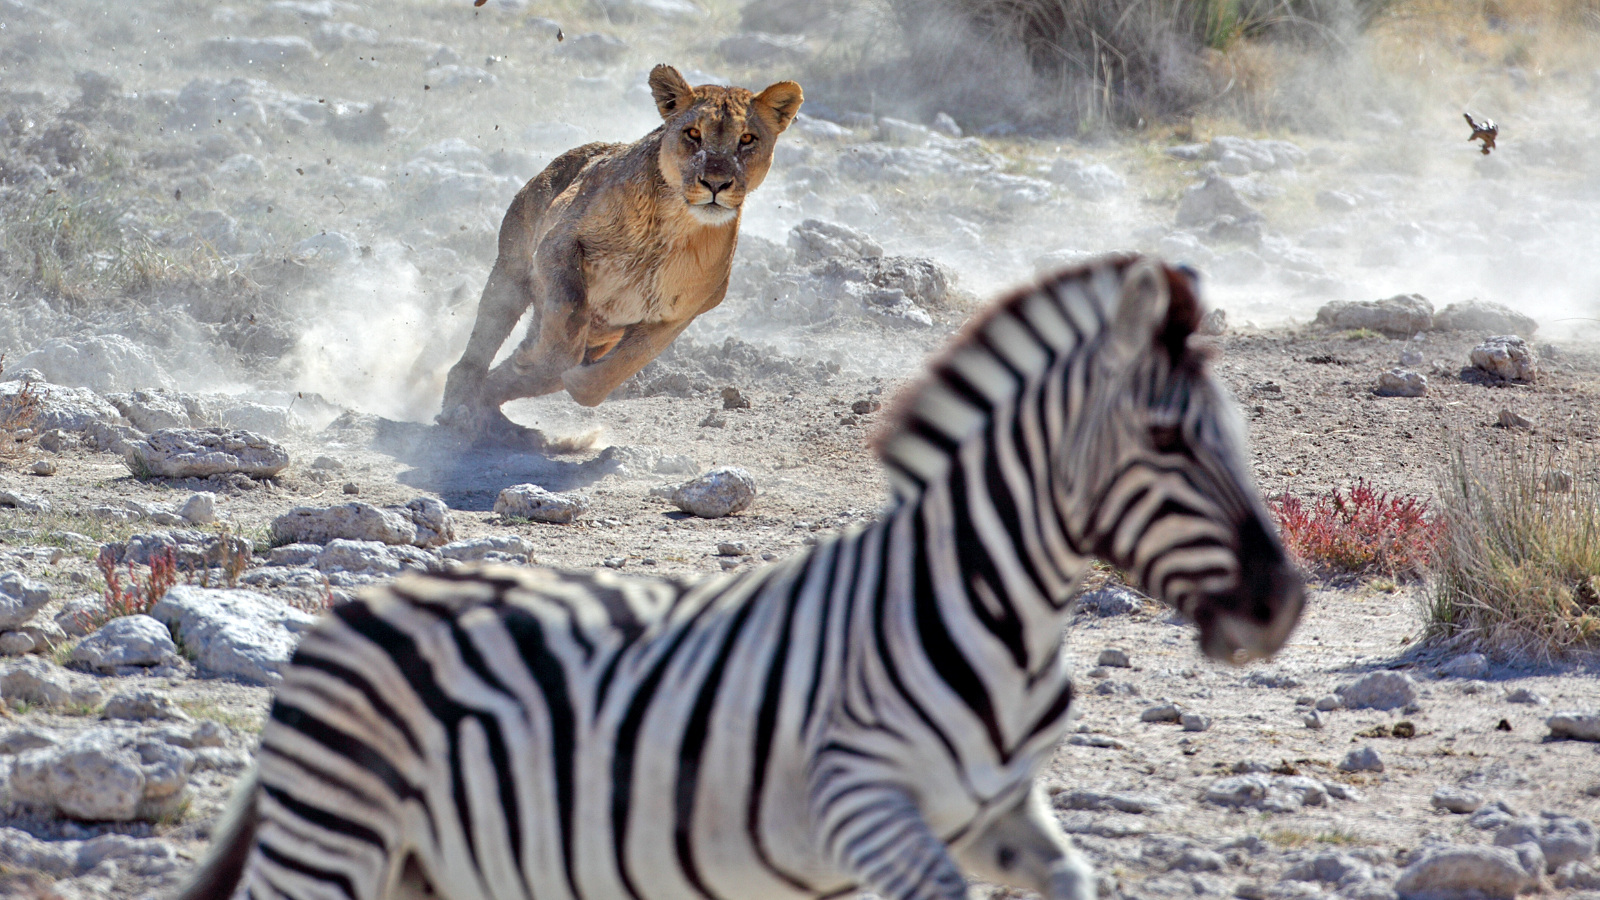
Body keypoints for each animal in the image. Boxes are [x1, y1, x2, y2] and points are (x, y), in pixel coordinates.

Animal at [179, 254, 1304, 900]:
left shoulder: (998, 813)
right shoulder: (860, 801)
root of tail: (354, 611)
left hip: (421, 864)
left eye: (1239, 437)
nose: (1281, 604)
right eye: (1166, 441)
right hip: (331, 841)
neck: (995, 616)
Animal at [437, 64, 803, 442]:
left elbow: (609, 375)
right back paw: (464, 409)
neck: (674, 226)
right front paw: (537, 361)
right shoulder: (558, 242)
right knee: (474, 355)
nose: (715, 183)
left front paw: (564, 376)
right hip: (511, 272)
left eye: (747, 139)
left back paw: (498, 410)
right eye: (693, 133)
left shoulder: (680, 313)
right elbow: (568, 318)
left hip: (596, 333)